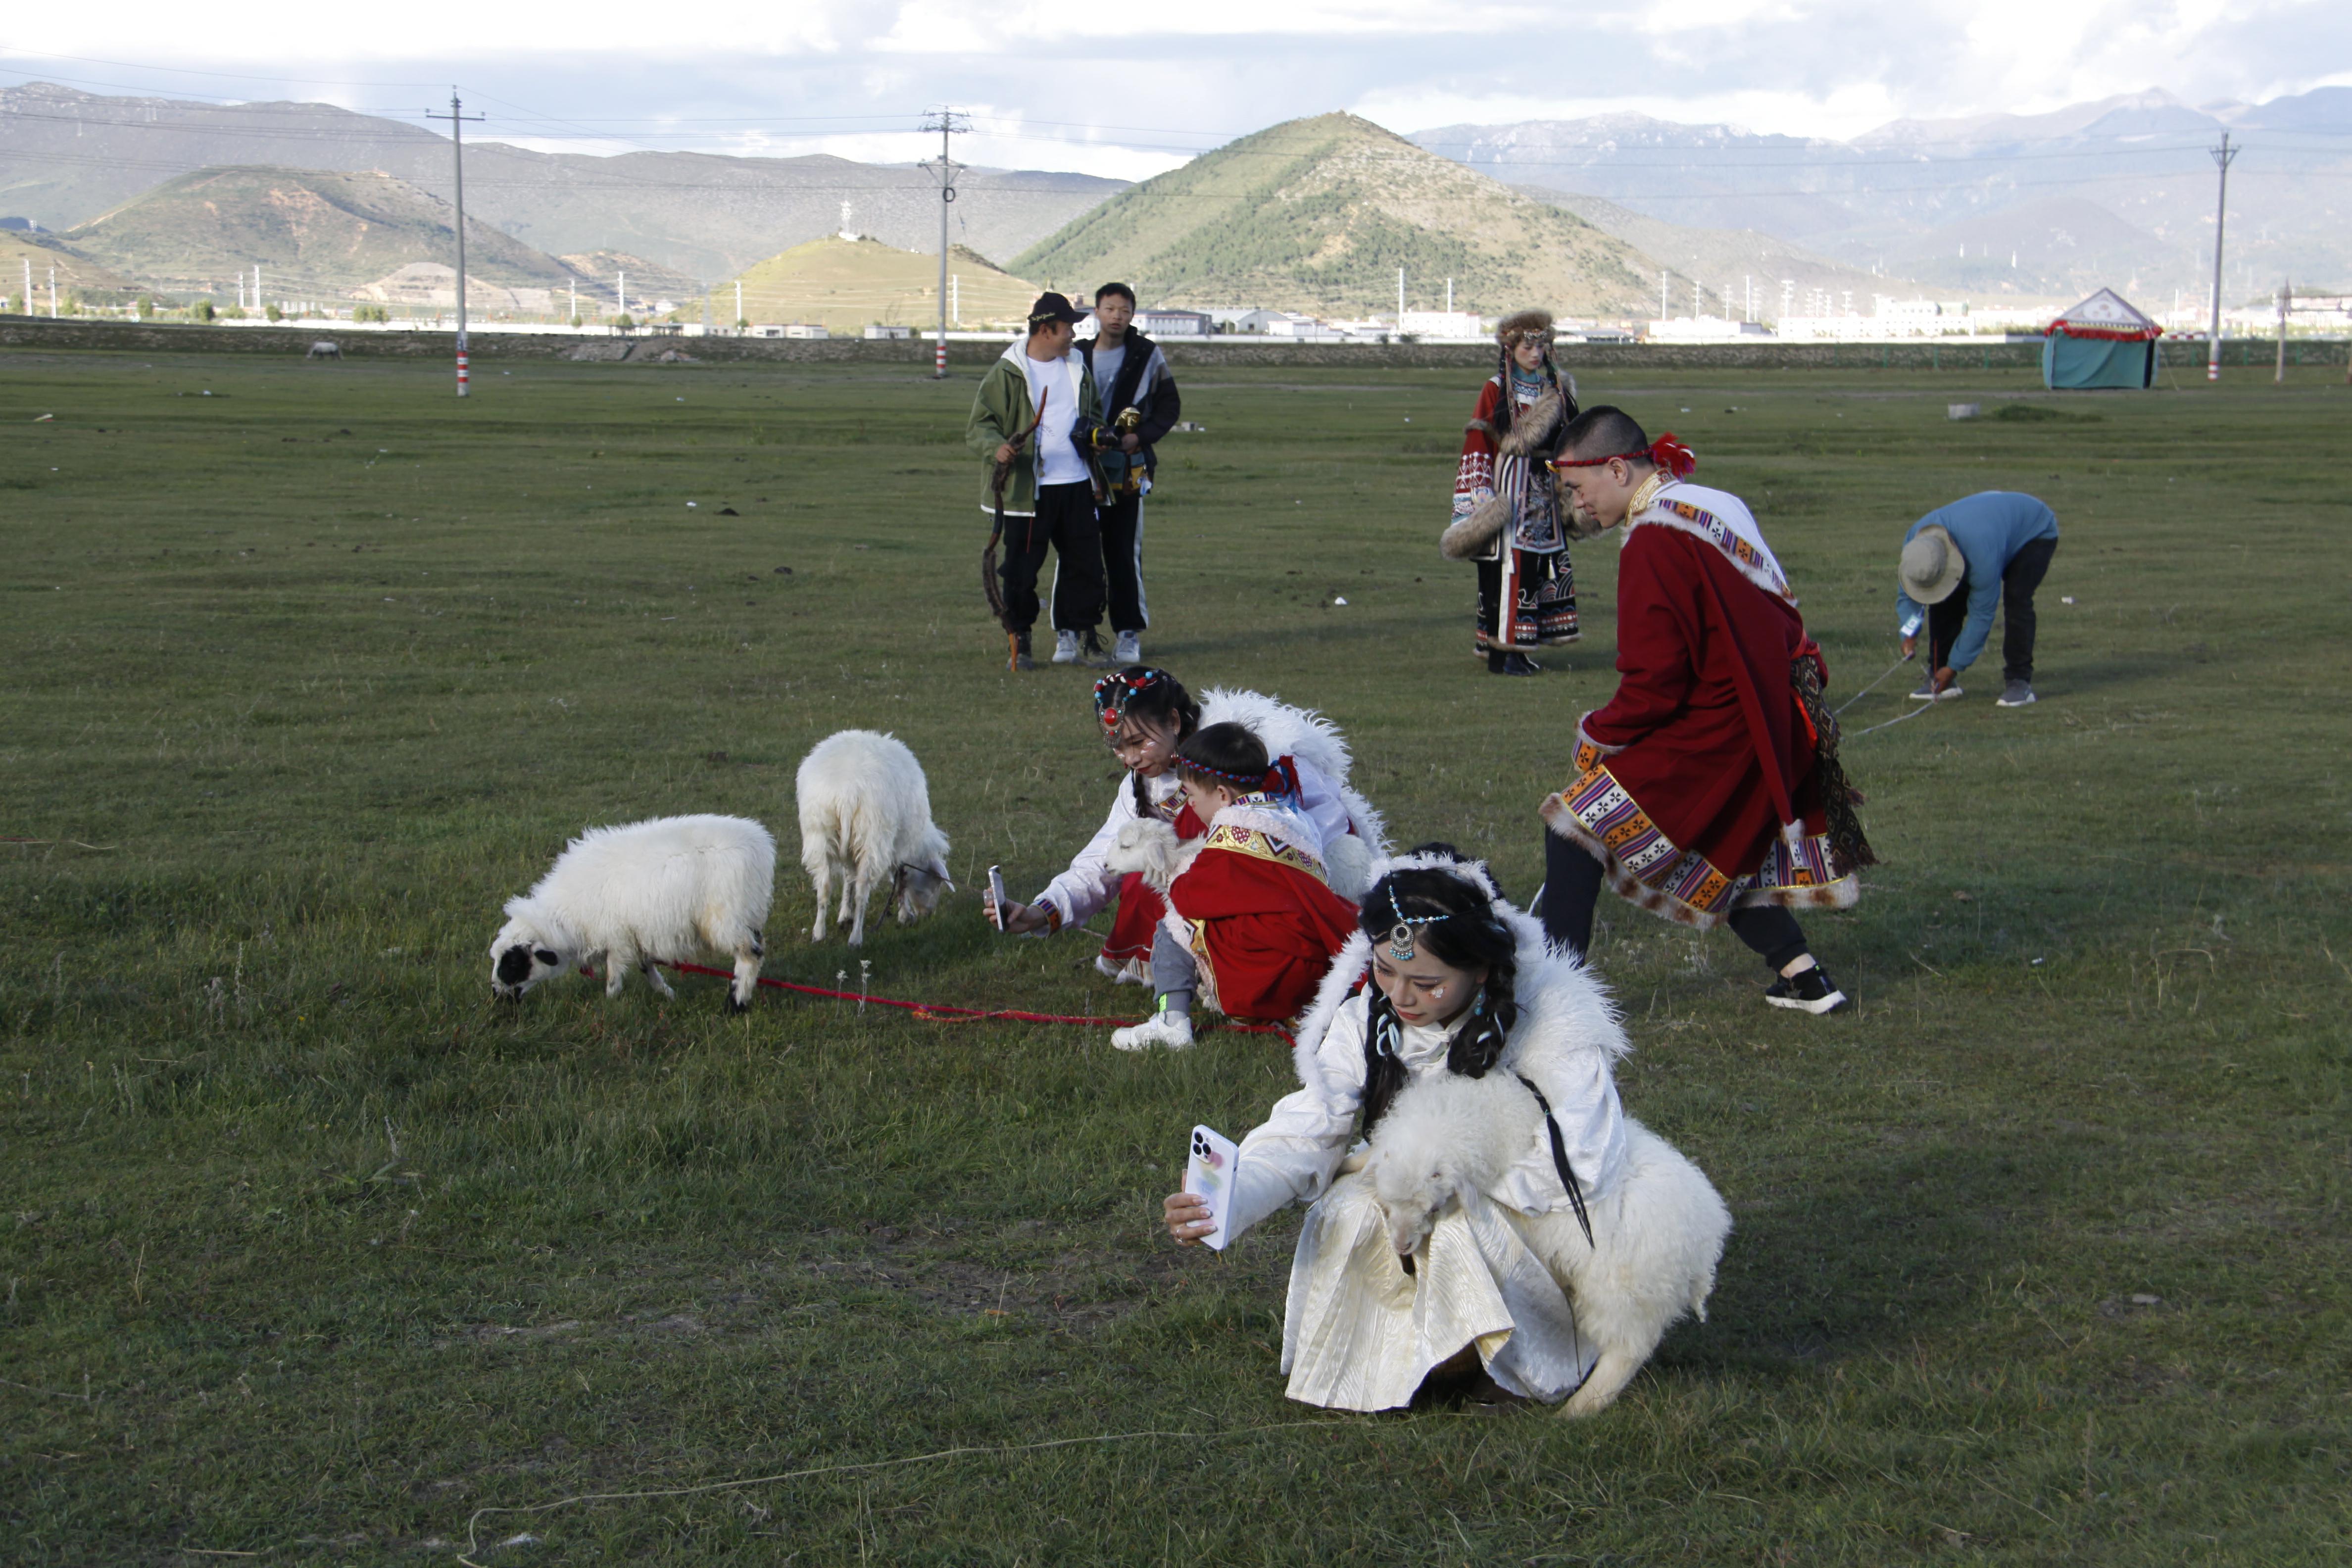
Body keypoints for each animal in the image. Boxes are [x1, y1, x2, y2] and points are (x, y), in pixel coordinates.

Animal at [489, 814, 775, 1010]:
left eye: (513, 962)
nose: (495, 994)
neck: (565, 917)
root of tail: (760, 845)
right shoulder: (635, 934)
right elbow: (646, 966)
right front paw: (667, 994)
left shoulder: (617, 939)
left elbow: (614, 976)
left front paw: (610, 1003)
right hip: (747, 917)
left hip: (728, 919)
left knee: (751, 956)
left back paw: (735, 1005)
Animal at [794, 730, 953, 945]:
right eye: (936, 882)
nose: (928, 915)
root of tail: (848, 794)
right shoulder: (900, 847)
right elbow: (900, 880)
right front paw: (905, 916)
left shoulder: (850, 848)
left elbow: (849, 878)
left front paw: (845, 915)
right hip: (872, 837)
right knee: (863, 890)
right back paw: (856, 938)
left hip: (819, 834)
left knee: (824, 886)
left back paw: (819, 933)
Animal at [1362, 1072, 1732, 1418]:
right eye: (1388, 1204)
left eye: (1434, 1209)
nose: (1402, 1247)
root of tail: (1707, 1234)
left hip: (1623, 1293)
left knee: (1627, 1351)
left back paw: (1577, 1410)